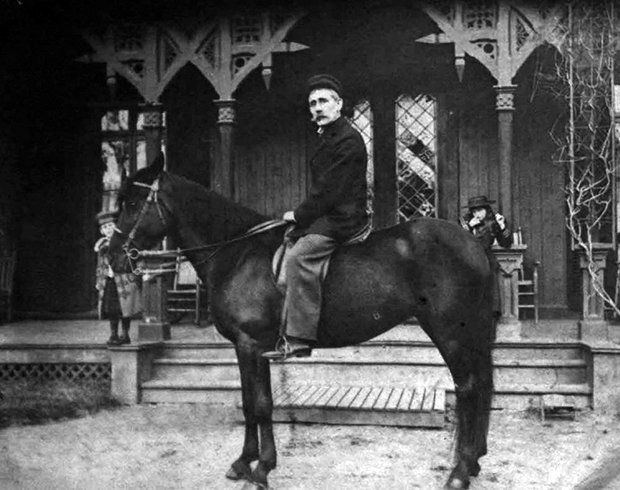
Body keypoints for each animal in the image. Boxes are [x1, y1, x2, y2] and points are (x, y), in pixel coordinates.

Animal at [110, 155, 494, 488]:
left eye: (133, 203)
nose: (113, 257)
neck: (238, 253)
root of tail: (472, 243)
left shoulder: (251, 344)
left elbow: (261, 405)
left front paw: (262, 467)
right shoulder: (248, 348)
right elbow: (250, 402)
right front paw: (244, 461)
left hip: (450, 333)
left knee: (468, 388)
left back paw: (459, 471)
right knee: (483, 384)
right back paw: (474, 461)